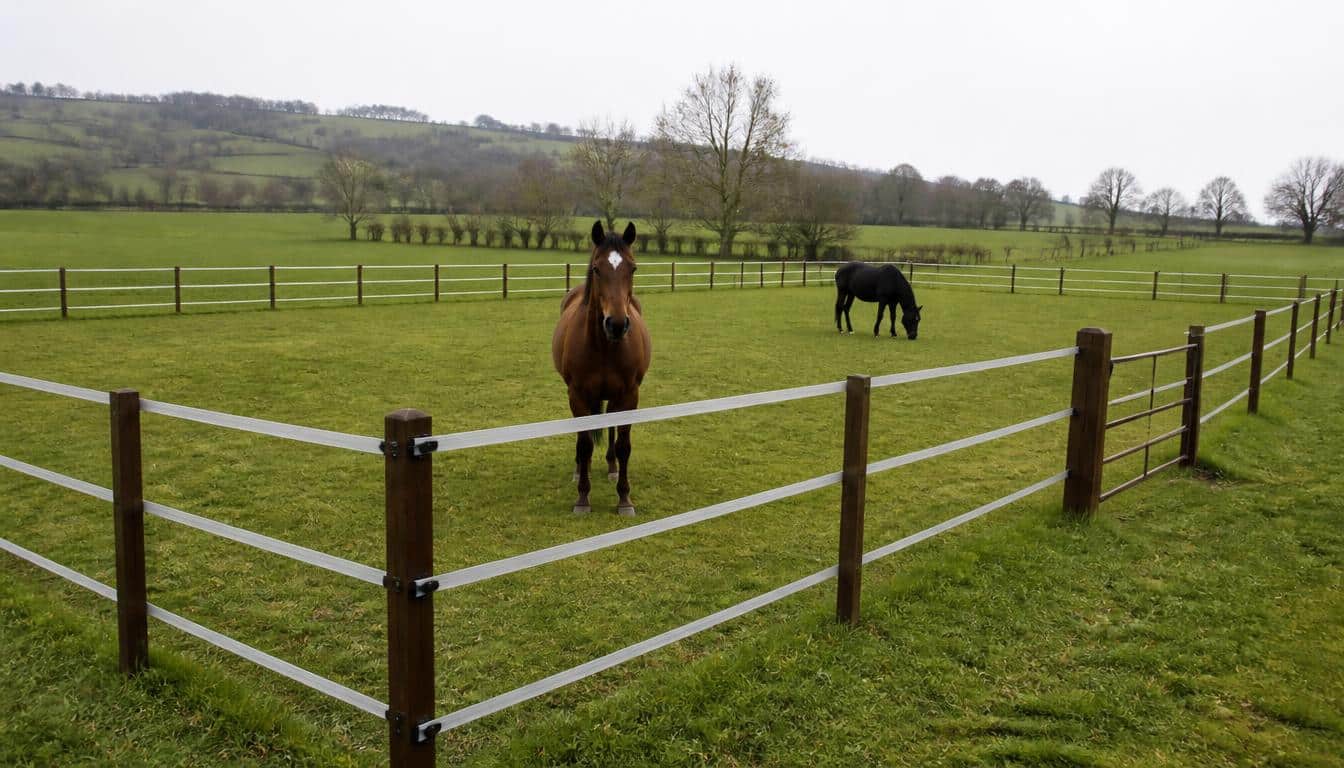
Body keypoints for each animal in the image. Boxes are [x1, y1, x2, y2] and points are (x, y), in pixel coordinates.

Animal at [551, 220, 652, 516]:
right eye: (597, 269)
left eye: (633, 268)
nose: (616, 324)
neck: (605, 347)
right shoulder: (578, 395)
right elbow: (585, 443)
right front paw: (583, 498)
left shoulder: (630, 395)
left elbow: (624, 445)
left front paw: (624, 498)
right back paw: (579, 469)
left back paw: (611, 468)